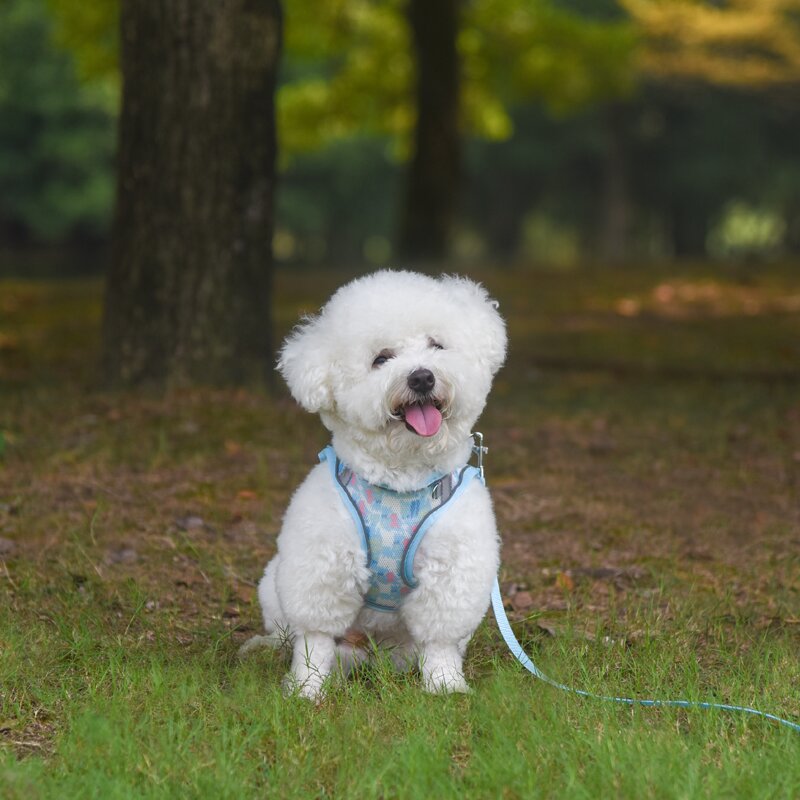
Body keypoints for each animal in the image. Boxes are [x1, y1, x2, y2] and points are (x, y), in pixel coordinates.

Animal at [249, 270, 506, 699]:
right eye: (381, 358)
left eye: (436, 344)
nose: (422, 376)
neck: (401, 477)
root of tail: (369, 652)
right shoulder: (321, 566)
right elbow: (314, 640)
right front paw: (306, 688)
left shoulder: (452, 571)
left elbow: (440, 641)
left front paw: (444, 684)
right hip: (273, 584)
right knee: (289, 635)